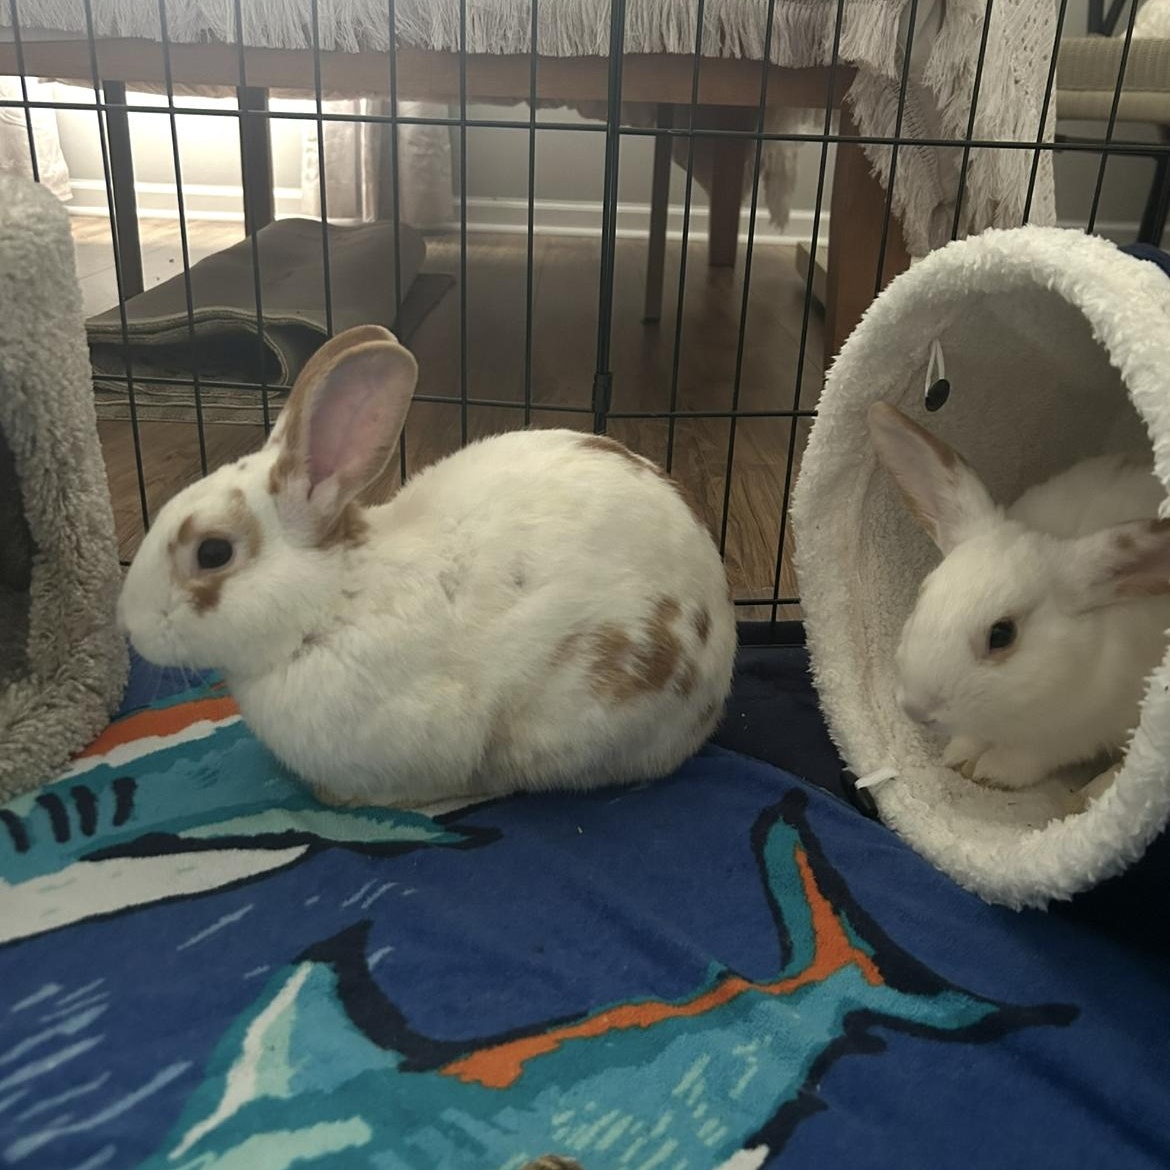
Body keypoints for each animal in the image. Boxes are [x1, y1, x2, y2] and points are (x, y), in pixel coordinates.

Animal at [867, 401, 1170, 796]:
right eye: (923, 591)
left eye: (1002, 634)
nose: (916, 709)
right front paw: (959, 757)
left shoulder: (1072, 734)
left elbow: (1028, 757)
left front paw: (987, 772)